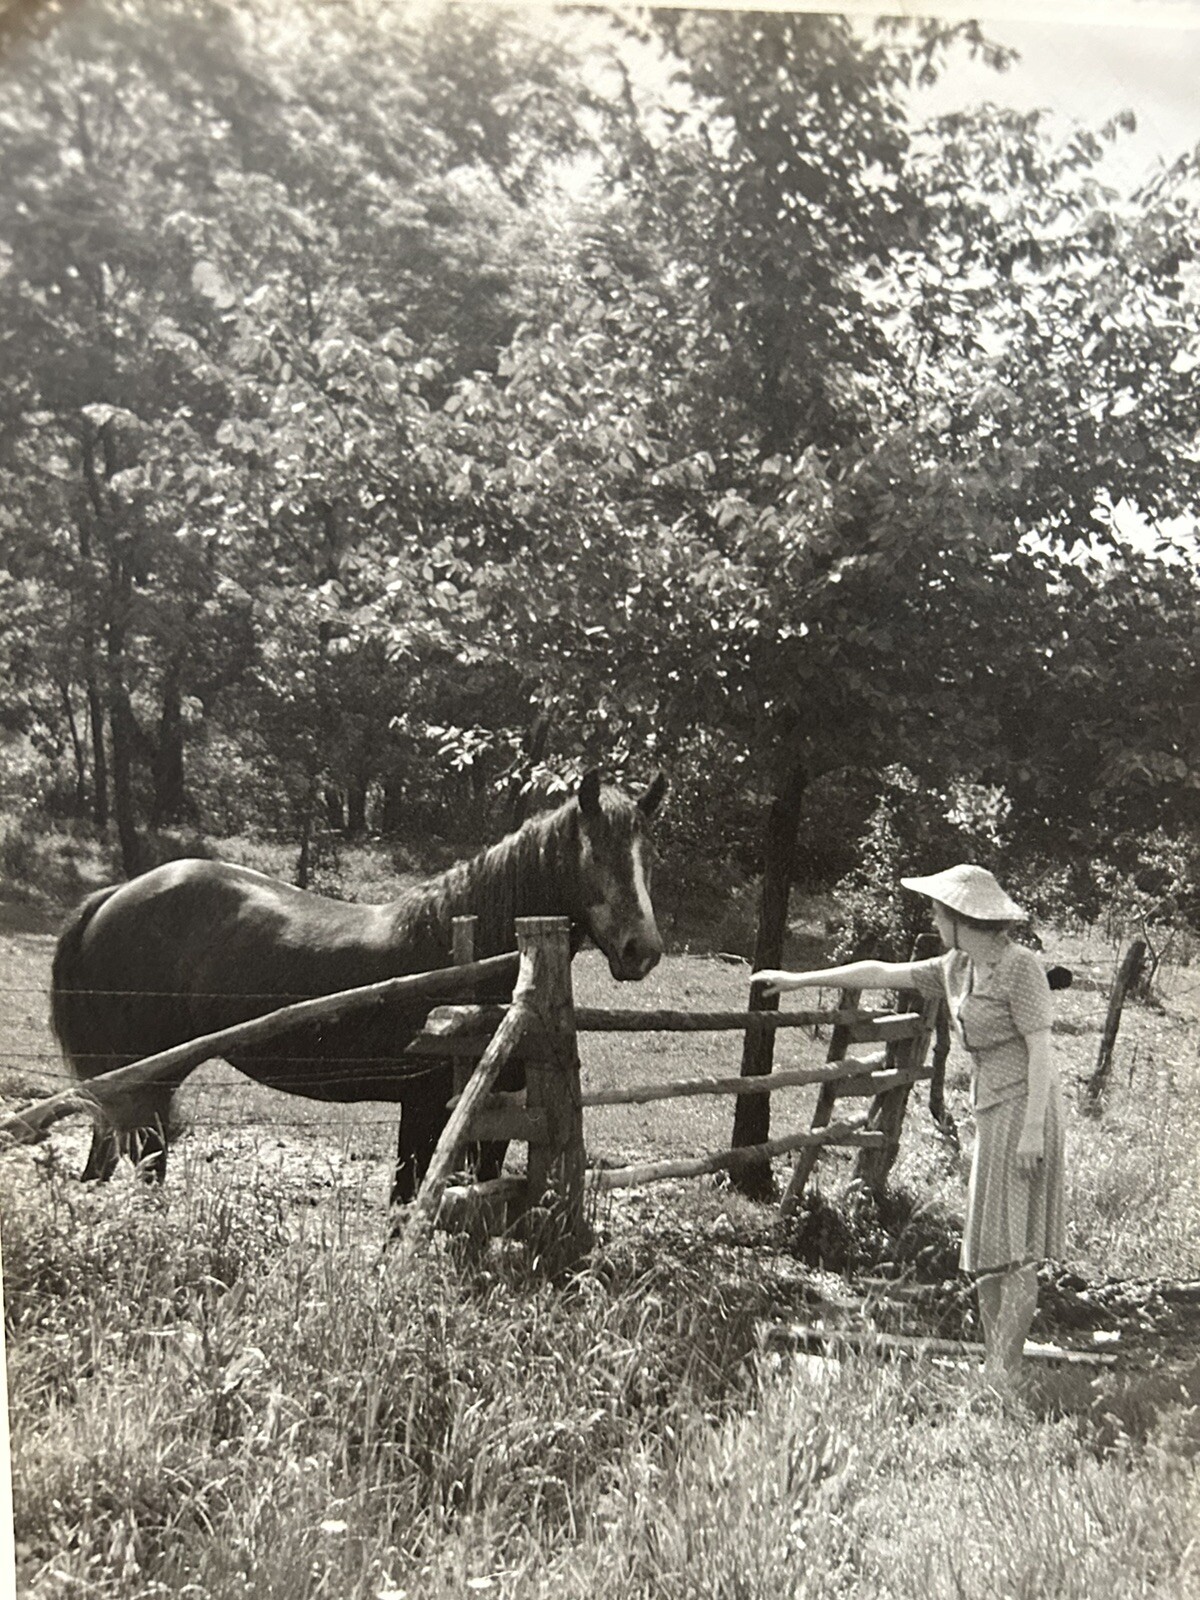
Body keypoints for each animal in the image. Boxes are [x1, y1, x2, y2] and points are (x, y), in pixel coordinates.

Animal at [51, 769, 667, 1204]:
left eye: (647, 855)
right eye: (595, 853)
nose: (643, 950)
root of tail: (111, 897)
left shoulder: (498, 1117)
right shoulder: (424, 1107)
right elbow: (407, 1199)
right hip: (144, 1081)